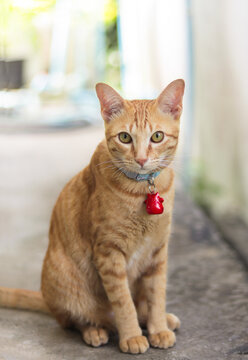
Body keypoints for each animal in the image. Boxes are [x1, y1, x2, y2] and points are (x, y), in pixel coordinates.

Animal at [0, 79, 184, 354]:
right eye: (125, 137)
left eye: (157, 136)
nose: (141, 159)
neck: (143, 189)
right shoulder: (108, 253)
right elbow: (123, 302)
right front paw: (132, 336)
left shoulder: (157, 251)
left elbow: (156, 296)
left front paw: (158, 328)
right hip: (65, 280)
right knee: (76, 320)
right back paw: (95, 330)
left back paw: (164, 321)